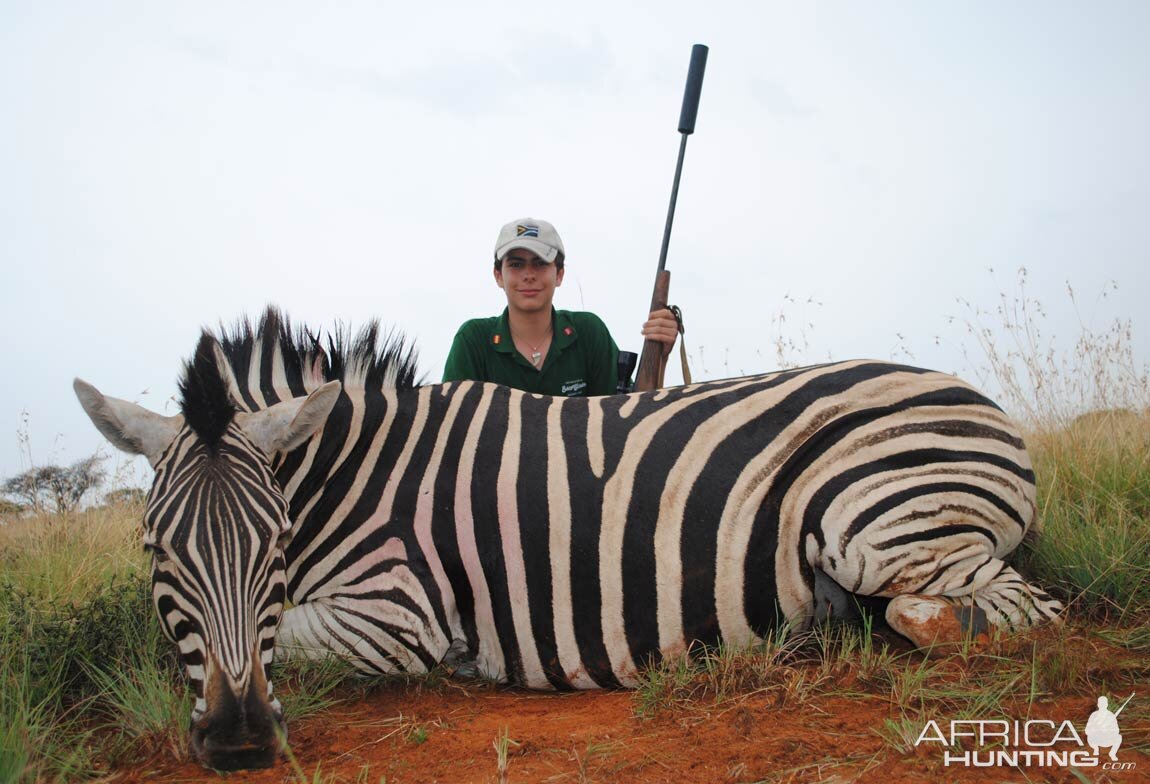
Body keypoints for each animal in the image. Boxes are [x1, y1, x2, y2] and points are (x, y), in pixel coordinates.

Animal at [71, 308, 1058, 767]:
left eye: (275, 546)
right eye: (156, 551)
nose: (238, 743)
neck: (358, 474)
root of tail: (985, 402)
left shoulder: (399, 614)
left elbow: (289, 639)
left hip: (880, 520)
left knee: (994, 611)